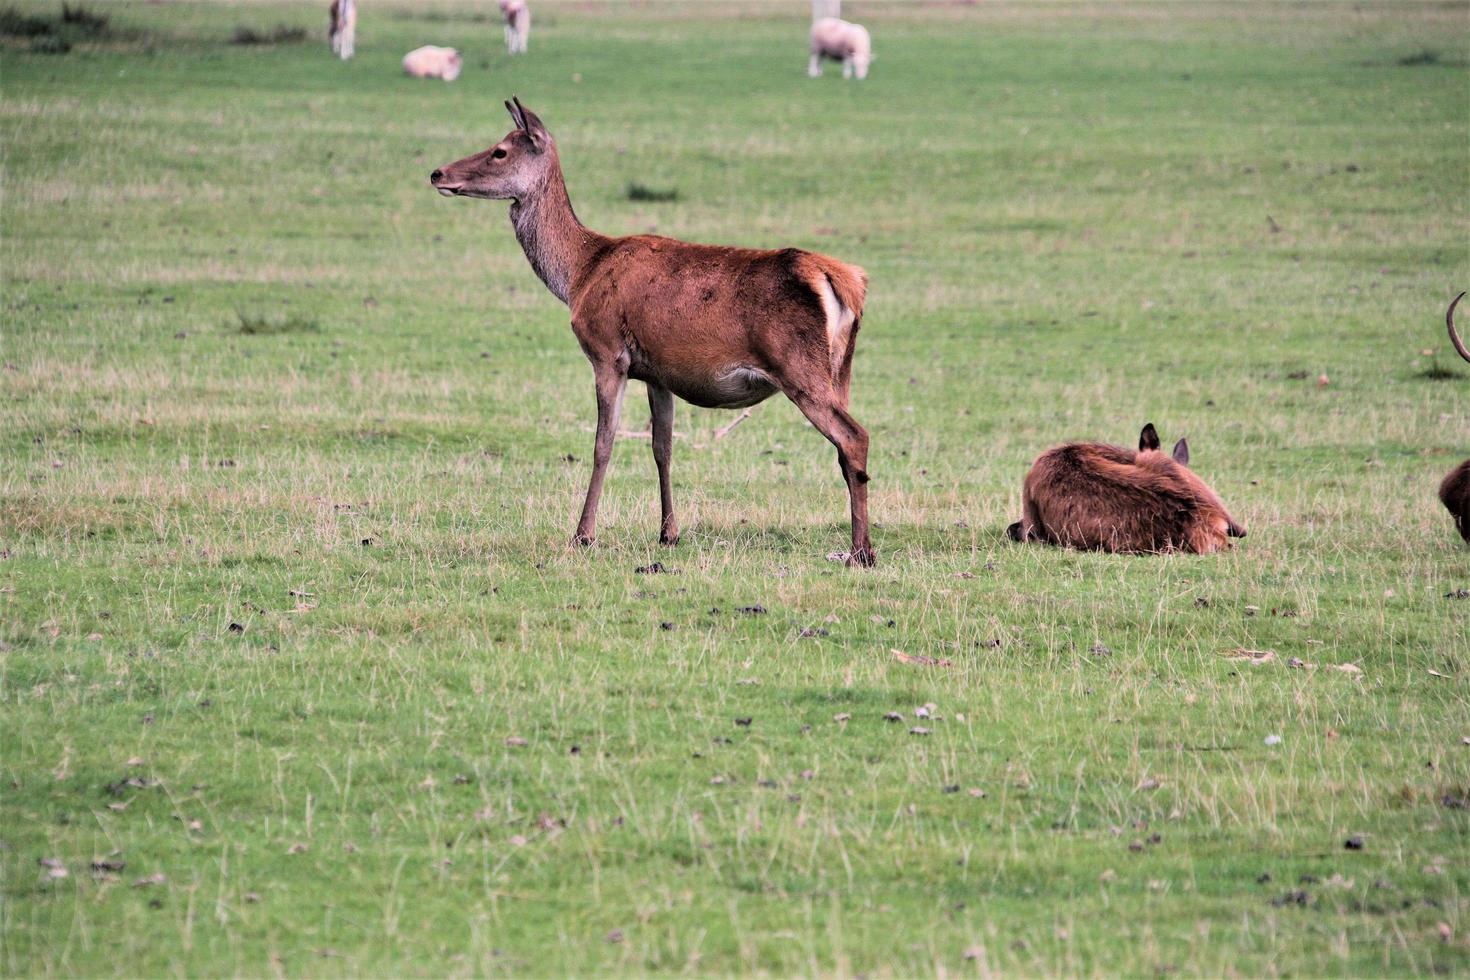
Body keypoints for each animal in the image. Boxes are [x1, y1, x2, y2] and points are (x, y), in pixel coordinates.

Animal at [429, 97, 876, 567]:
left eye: (499, 151)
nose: (437, 173)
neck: (578, 273)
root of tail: (842, 278)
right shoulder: (657, 372)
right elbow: (662, 447)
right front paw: (668, 533)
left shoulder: (607, 352)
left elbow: (603, 443)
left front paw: (583, 534)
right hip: (840, 369)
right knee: (846, 449)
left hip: (797, 364)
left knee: (854, 436)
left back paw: (860, 551)